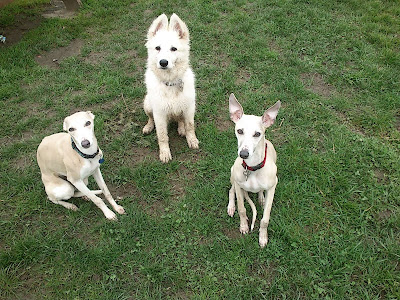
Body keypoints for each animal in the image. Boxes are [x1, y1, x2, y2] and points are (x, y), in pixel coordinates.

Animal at [144, 13, 200, 164]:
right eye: (157, 48)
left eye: (174, 49)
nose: (163, 62)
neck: (170, 83)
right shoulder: (159, 114)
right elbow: (162, 136)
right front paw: (164, 153)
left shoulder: (189, 108)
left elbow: (190, 126)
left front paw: (192, 140)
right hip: (147, 104)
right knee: (150, 118)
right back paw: (148, 126)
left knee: (180, 120)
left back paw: (181, 128)